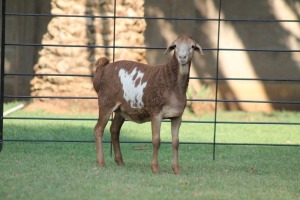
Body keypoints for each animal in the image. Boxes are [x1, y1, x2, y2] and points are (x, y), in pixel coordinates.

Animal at [92, 34, 203, 173]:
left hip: (121, 109)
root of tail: (102, 69)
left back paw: (120, 161)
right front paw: (155, 168)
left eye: (192, 46)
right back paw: (101, 162)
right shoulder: (156, 112)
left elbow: (176, 142)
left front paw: (177, 169)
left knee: (114, 130)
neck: (172, 83)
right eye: (175, 46)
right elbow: (156, 140)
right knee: (98, 129)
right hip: (106, 101)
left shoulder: (177, 116)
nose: (182, 57)